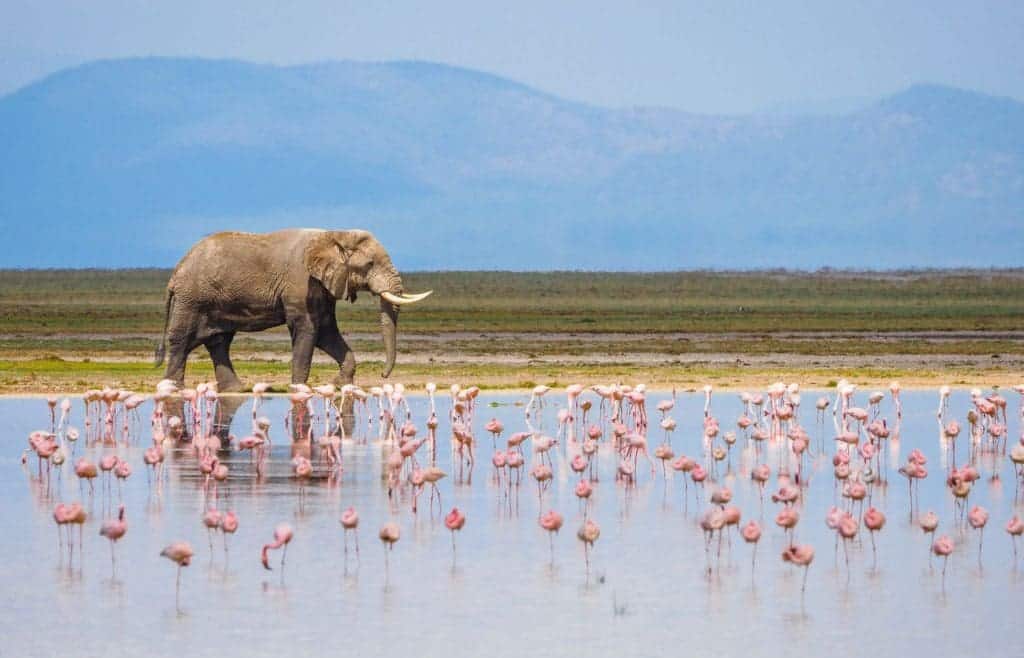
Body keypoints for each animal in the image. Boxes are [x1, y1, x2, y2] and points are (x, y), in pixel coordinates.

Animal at [152, 228, 432, 390]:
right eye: (370, 263)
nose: (384, 376)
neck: (334, 234)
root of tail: (175, 273)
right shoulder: (301, 282)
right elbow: (307, 330)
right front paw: (299, 388)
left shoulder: (322, 286)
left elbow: (326, 332)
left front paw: (339, 384)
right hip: (192, 298)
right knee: (183, 338)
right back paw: (173, 387)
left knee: (218, 341)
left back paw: (235, 390)